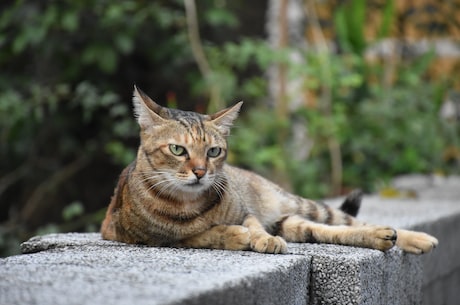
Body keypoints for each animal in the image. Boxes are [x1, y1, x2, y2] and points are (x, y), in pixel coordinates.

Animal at [100, 86, 438, 254]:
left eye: (213, 151)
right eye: (177, 150)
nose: (200, 172)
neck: (188, 204)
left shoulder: (247, 212)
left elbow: (250, 226)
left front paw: (260, 239)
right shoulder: (146, 238)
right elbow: (201, 235)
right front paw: (233, 235)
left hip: (296, 206)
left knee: (347, 222)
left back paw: (411, 237)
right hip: (292, 222)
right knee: (326, 231)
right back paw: (385, 237)